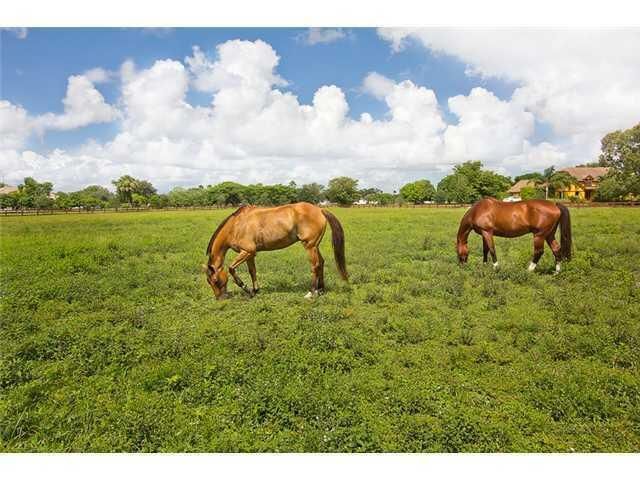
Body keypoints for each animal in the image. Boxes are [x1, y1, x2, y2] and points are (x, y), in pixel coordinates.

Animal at [203, 202, 348, 299]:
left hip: (309, 246)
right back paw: (321, 290)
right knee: (321, 263)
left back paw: (311, 292)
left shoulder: (247, 251)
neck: (236, 226)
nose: (220, 299)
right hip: (315, 246)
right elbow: (252, 271)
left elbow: (231, 268)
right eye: (209, 282)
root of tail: (320, 209)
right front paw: (255, 291)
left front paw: (246, 288)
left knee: (315, 265)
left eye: (215, 280)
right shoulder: (250, 254)